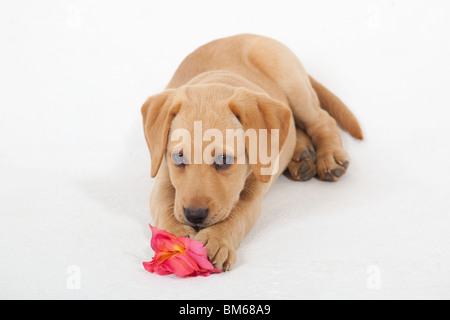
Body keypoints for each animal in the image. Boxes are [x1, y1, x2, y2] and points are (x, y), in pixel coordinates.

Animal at [142, 34, 362, 270]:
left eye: (224, 160)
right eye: (179, 157)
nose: (195, 215)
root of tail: (251, 35)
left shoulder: (253, 192)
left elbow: (238, 213)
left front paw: (216, 239)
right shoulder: (162, 173)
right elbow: (165, 205)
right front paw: (174, 238)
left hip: (294, 86)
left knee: (321, 119)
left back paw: (330, 157)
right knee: (293, 125)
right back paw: (301, 156)